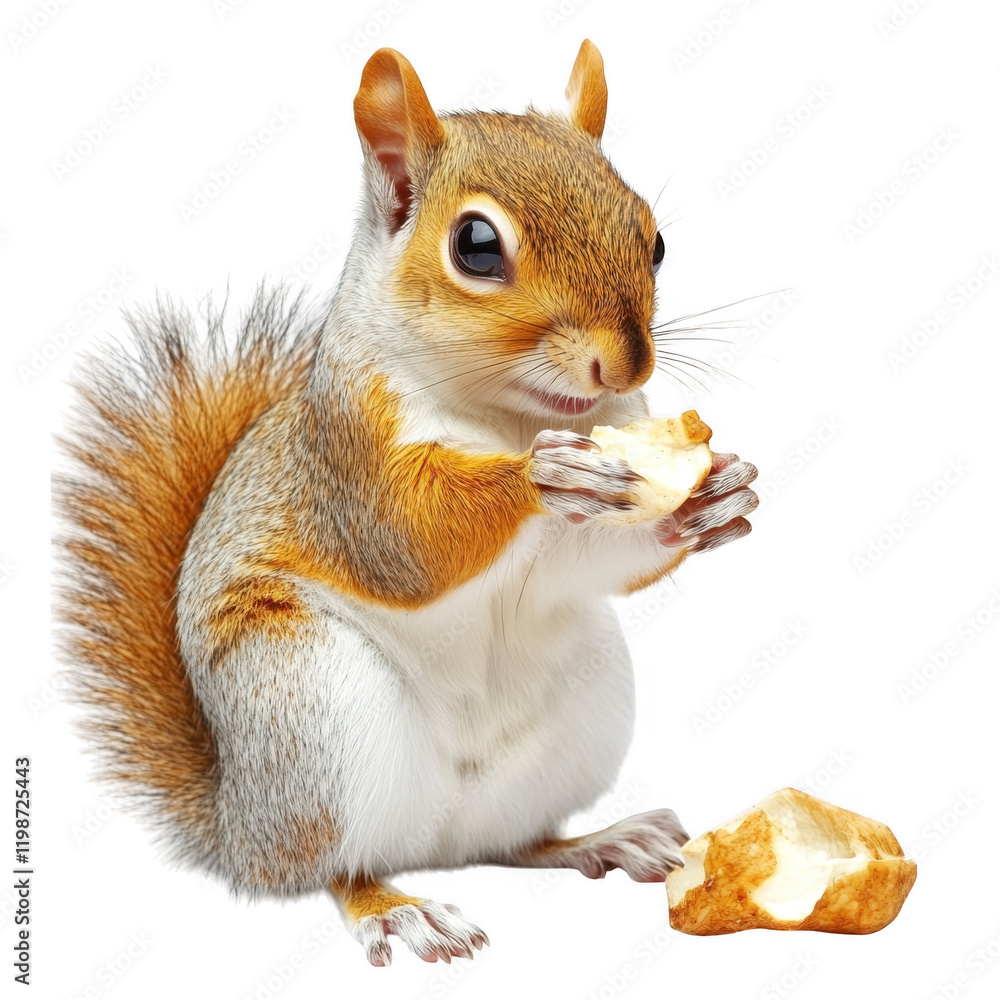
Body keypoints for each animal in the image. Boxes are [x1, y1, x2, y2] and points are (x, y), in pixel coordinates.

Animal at [55, 40, 759, 966]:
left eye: (657, 238)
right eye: (476, 246)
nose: (627, 364)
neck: (509, 414)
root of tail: (242, 827)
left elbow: (594, 559)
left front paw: (714, 501)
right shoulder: (347, 463)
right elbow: (407, 545)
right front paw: (542, 476)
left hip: (584, 705)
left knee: (513, 842)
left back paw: (603, 838)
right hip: (311, 704)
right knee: (334, 866)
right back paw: (397, 908)